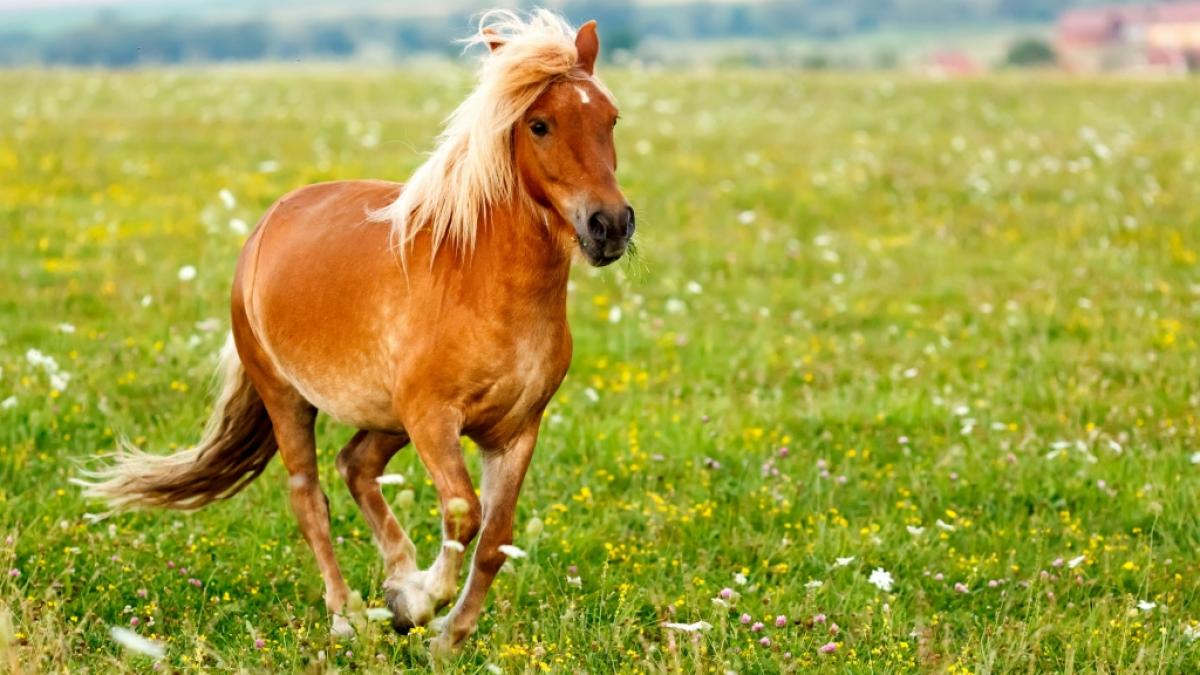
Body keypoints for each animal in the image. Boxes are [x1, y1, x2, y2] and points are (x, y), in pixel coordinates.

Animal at [77, 10, 633, 655]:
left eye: (610, 118)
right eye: (540, 124)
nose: (610, 225)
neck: (483, 284)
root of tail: (268, 224)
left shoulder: (515, 431)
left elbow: (495, 539)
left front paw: (444, 634)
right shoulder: (433, 419)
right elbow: (463, 513)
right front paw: (420, 601)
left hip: (386, 417)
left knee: (355, 465)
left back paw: (395, 580)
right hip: (289, 398)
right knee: (309, 495)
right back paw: (348, 615)